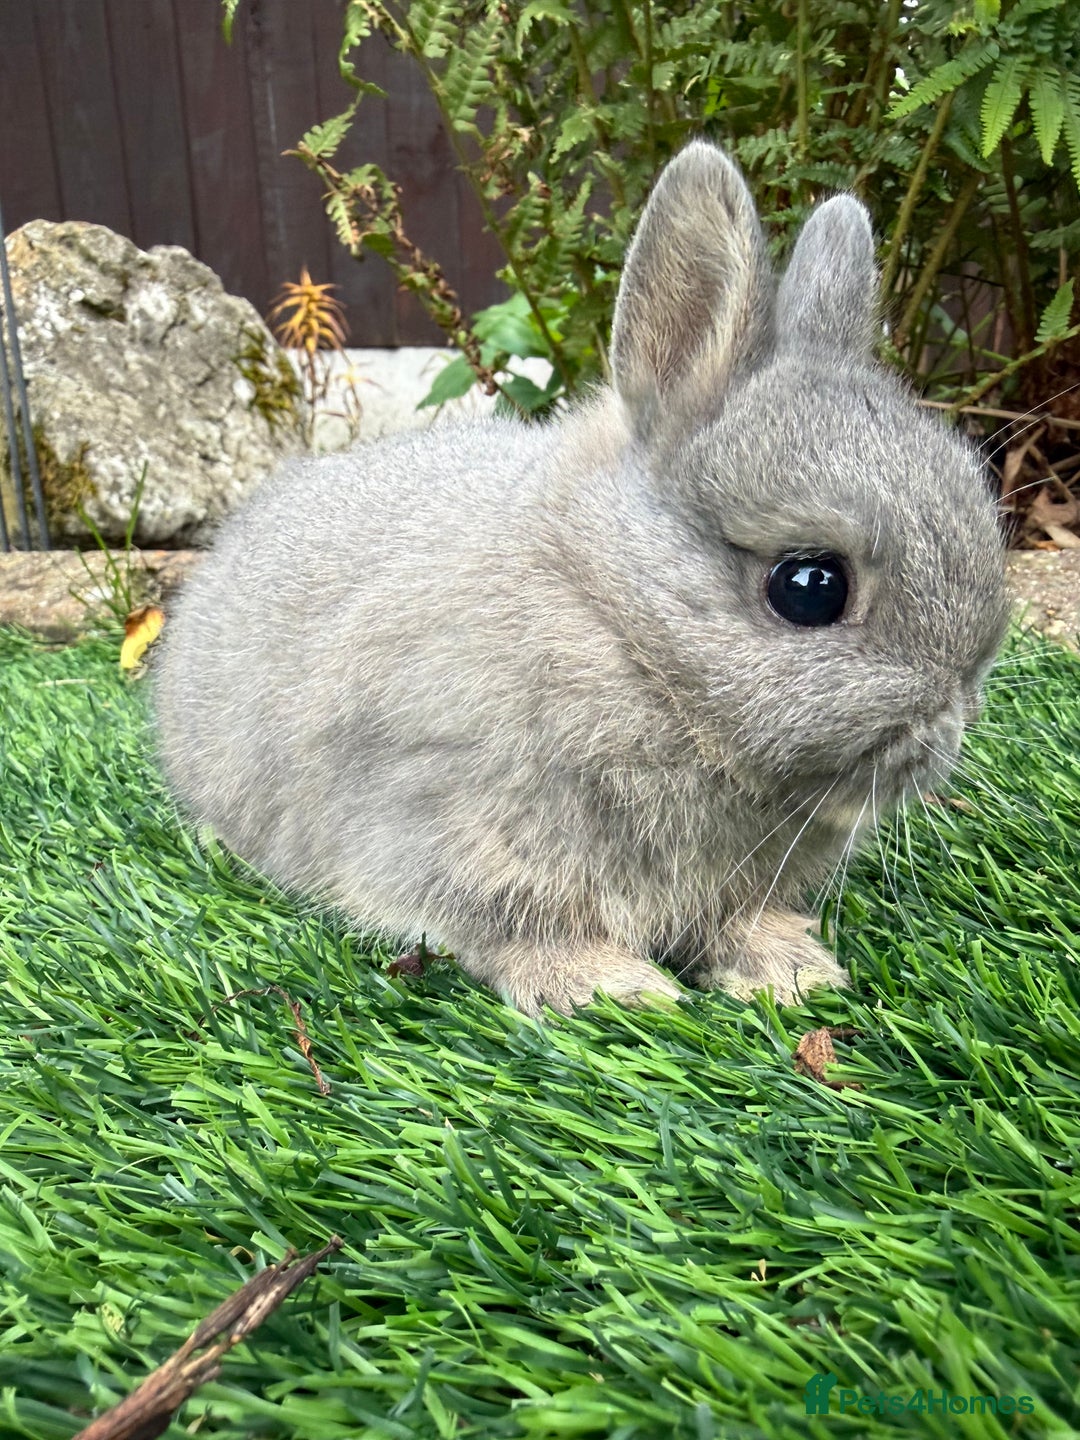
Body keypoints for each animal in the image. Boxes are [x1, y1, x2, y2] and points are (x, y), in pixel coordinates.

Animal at [155, 139, 1008, 1018]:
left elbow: (736, 919)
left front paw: (789, 969)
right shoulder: (447, 828)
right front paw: (615, 989)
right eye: (810, 587)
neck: (624, 629)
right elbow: (517, 927)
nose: (952, 720)